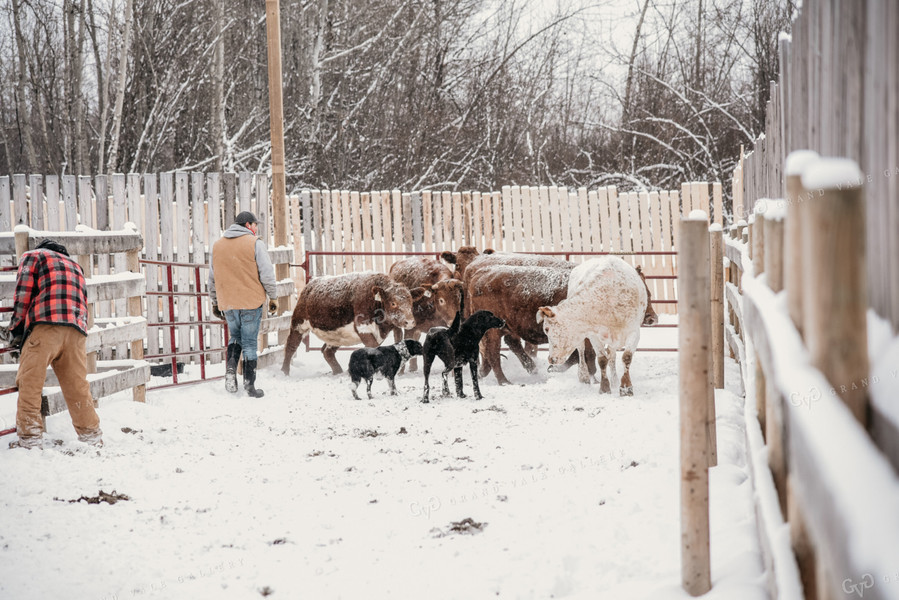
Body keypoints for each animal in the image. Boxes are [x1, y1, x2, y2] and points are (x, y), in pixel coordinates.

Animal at [282, 272, 422, 376]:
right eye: (393, 303)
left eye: (411, 302)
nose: (409, 321)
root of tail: (310, 285)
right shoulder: (363, 327)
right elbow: (373, 347)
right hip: (299, 323)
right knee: (291, 346)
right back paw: (285, 372)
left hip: (337, 335)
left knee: (327, 351)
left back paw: (338, 372)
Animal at [536, 255, 656, 396]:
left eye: (547, 329)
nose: (551, 359)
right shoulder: (593, 334)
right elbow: (602, 360)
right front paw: (604, 388)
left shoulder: (634, 332)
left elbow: (626, 357)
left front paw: (626, 387)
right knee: (581, 351)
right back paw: (584, 376)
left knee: (612, 356)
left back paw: (615, 381)